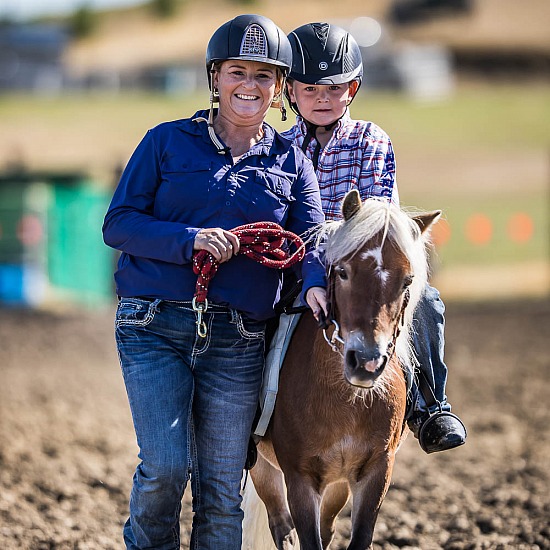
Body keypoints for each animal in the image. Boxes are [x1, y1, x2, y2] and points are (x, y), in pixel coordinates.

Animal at [244, 191, 442, 550]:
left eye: (407, 280)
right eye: (343, 272)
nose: (365, 362)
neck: (346, 400)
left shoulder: (377, 471)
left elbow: (356, 537)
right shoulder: (300, 478)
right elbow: (307, 538)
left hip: (337, 483)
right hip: (263, 467)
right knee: (281, 527)